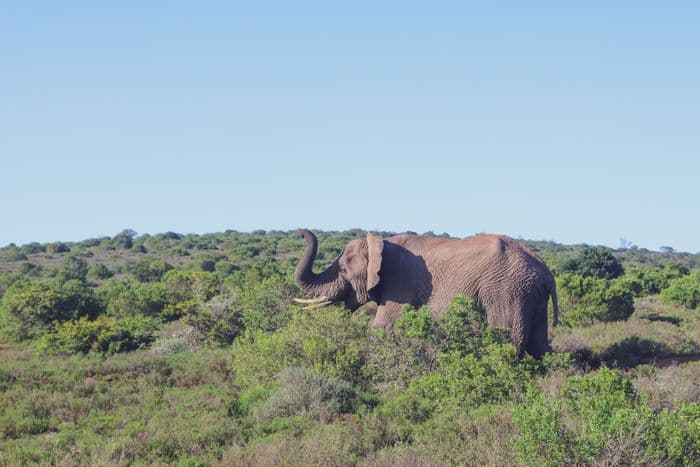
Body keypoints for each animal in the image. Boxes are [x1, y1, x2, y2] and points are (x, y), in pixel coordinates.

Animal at [294, 229, 559, 358]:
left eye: (344, 270)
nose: (300, 231)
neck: (382, 242)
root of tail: (545, 271)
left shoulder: (400, 285)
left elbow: (382, 328)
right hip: (529, 295)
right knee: (540, 347)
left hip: (507, 292)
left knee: (510, 343)